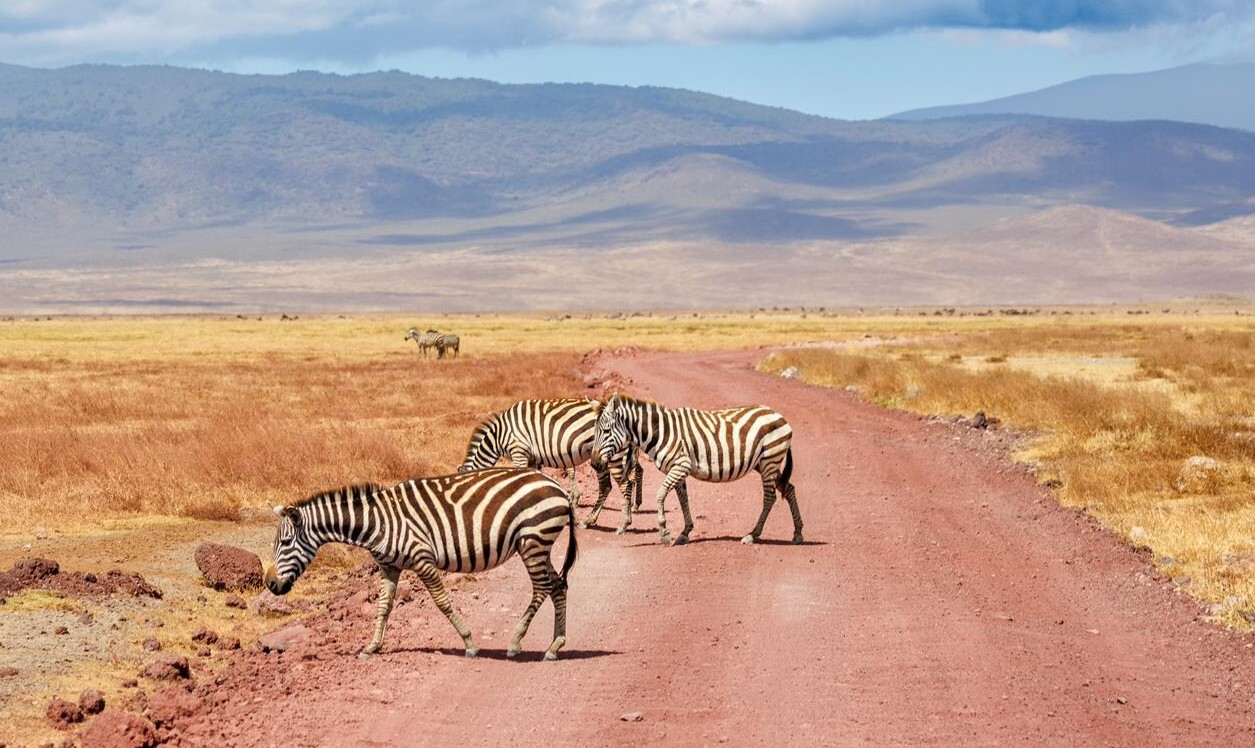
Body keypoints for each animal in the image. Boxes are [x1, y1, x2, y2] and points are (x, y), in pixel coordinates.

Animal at [267, 466, 579, 662]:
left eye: (285, 543)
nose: (270, 584)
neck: (377, 522)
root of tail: (557, 487)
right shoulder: (389, 567)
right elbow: (383, 606)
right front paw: (372, 647)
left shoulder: (422, 559)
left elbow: (442, 602)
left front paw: (469, 643)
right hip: (540, 544)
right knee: (558, 585)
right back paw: (555, 645)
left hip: (533, 540)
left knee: (542, 588)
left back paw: (515, 642)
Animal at [456, 396, 642, 532]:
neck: (499, 435)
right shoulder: (533, 458)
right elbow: (533, 483)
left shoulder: (519, 450)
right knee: (610, 485)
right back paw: (593, 520)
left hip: (612, 456)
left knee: (623, 484)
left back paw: (623, 522)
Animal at [589, 394, 803, 547]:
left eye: (606, 431)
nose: (594, 464)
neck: (661, 433)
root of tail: (778, 414)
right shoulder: (678, 469)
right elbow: (683, 500)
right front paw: (685, 532)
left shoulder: (680, 465)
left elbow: (660, 495)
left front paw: (664, 531)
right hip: (765, 463)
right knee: (789, 488)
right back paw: (798, 533)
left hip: (769, 460)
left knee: (770, 497)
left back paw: (752, 535)